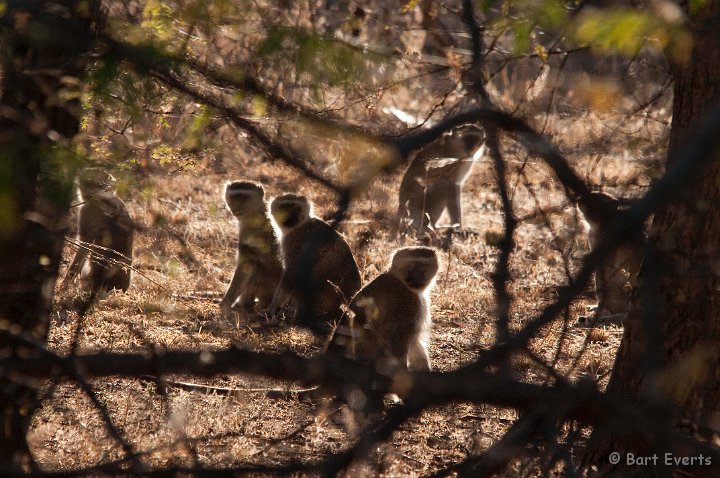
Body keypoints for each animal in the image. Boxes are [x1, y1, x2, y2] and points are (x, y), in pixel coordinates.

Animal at [268, 192, 362, 334]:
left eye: (296, 208)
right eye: (285, 207)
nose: (291, 217)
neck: (300, 224)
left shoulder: (294, 242)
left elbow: (291, 273)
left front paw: (273, 308)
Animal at [328, 246, 438, 374]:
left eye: (422, 266)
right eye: (412, 265)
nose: (417, 276)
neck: (399, 279)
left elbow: (415, 344)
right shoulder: (407, 301)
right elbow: (399, 341)